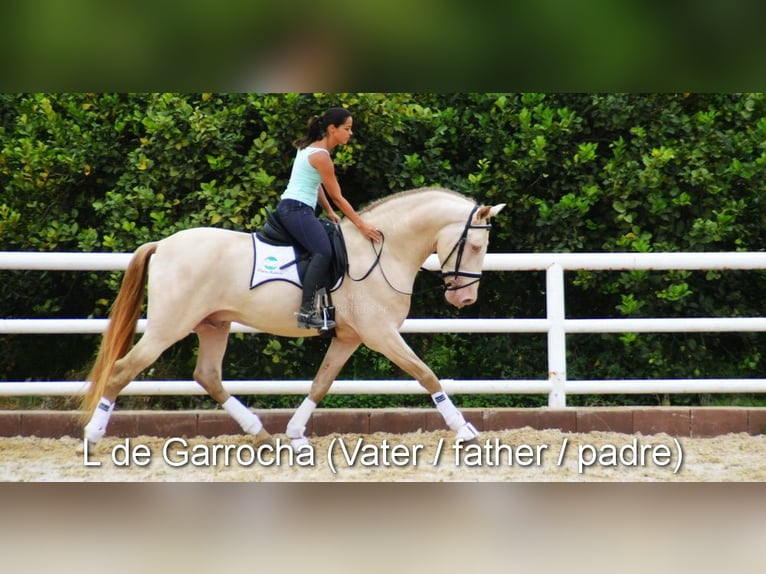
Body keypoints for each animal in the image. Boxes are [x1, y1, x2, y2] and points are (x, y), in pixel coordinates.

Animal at [80, 187, 505, 448]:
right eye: (476, 245)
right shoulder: (380, 334)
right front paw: (464, 429)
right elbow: (425, 374)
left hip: (214, 324)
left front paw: (297, 433)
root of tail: (163, 245)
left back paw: (261, 433)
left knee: (208, 376)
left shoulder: (349, 337)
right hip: (168, 327)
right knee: (122, 370)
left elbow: (321, 383)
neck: (381, 252)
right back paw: (93, 434)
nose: (465, 298)